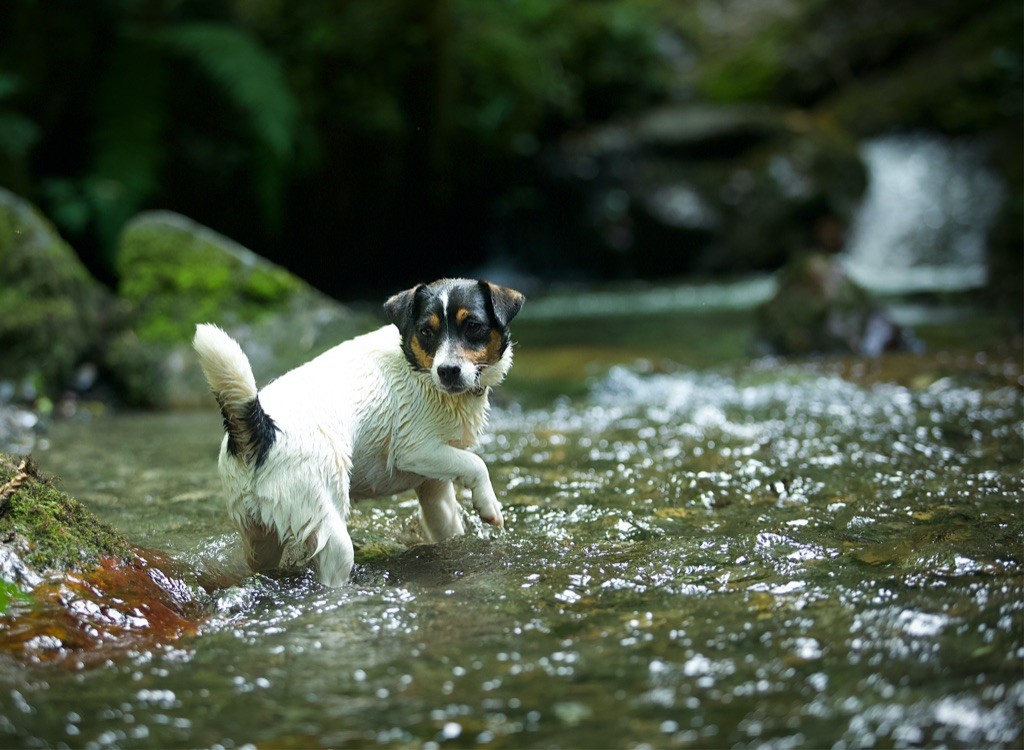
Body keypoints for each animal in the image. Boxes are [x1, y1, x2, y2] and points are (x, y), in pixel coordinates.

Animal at [192, 278, 524, 590]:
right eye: (426, 331)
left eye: (473, 326)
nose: (448, 371)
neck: (417, 368)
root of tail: (261, 428)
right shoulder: (415, 450)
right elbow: (476, 464)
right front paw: (489, 506)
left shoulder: (435, 485)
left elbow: (447, 524)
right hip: (331, 533)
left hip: (260, 535)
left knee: (257, 560)